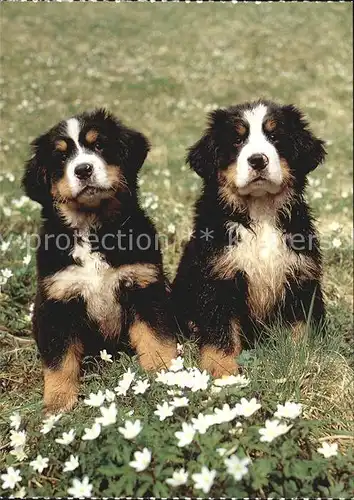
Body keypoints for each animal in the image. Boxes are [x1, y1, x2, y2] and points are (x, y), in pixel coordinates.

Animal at [22, 110, 177, 414]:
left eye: (99, 145)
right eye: (61, 157)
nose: (83, 169)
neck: (93, 227)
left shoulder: (143, 285)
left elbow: (155, 336)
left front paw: (165, 371)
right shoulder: (58, 300)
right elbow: (59, 360)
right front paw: (58, 403)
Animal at [174, 100, 326, 376]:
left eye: (275, 137)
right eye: (237, 140)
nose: (257, 160)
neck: (260, 211)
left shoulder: (301, 275)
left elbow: (302, 326)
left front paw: (302, 357)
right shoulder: (217, 277)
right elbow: (221, 333)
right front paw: (223, 372)